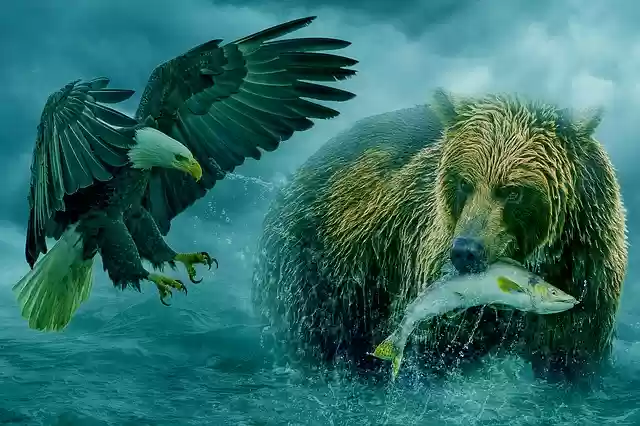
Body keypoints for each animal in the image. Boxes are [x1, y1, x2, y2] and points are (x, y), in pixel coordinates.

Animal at [251, 90, 628, 383]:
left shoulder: (587, 276)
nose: (465, 250)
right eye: (464, 182)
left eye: (513, 192)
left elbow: (569, 356)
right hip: (319, 275)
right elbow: (434, 353)